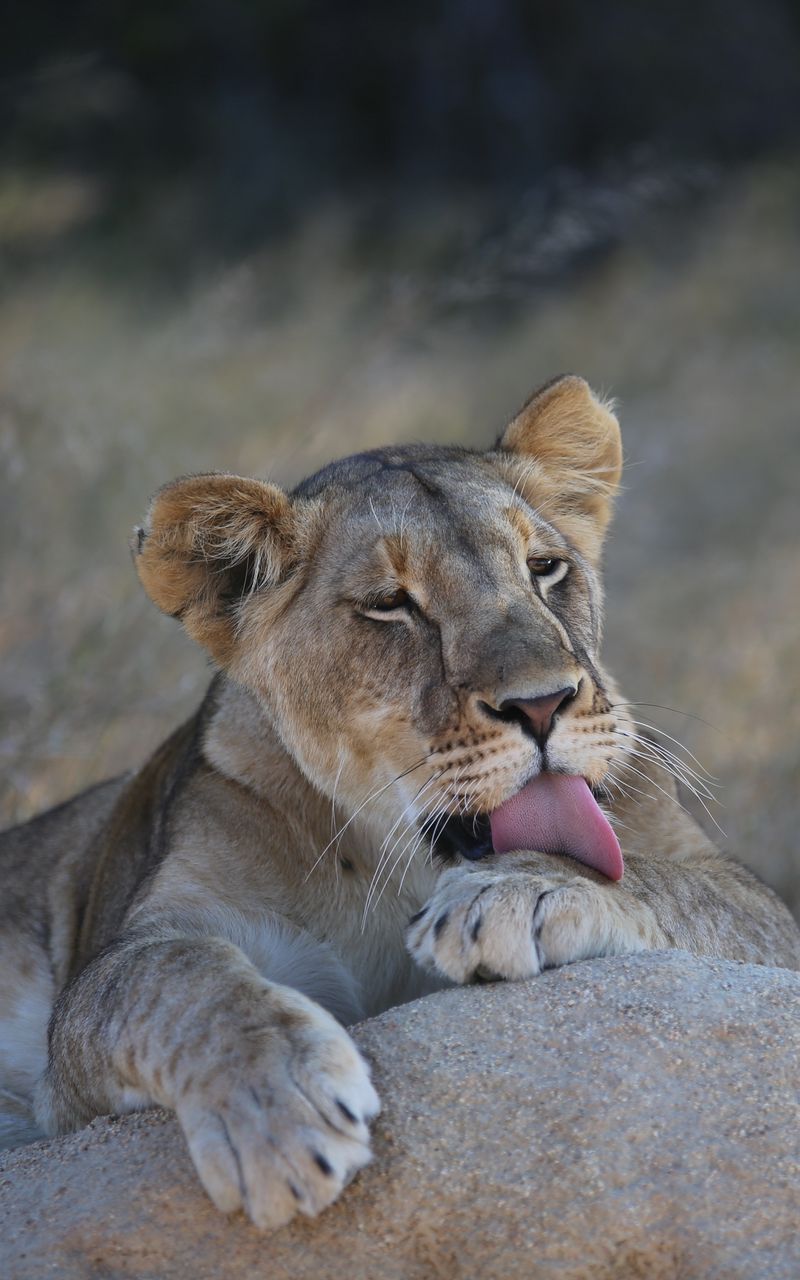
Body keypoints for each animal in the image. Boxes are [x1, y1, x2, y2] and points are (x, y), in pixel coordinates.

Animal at [1, 375, 797, 1227]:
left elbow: (657, 879)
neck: (398, 861)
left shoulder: (751, 906)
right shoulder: (116, 976)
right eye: (391, 604)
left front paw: (520, 893)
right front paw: (281, 1117)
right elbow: (178, 976)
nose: (544, 704)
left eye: (546, 567)